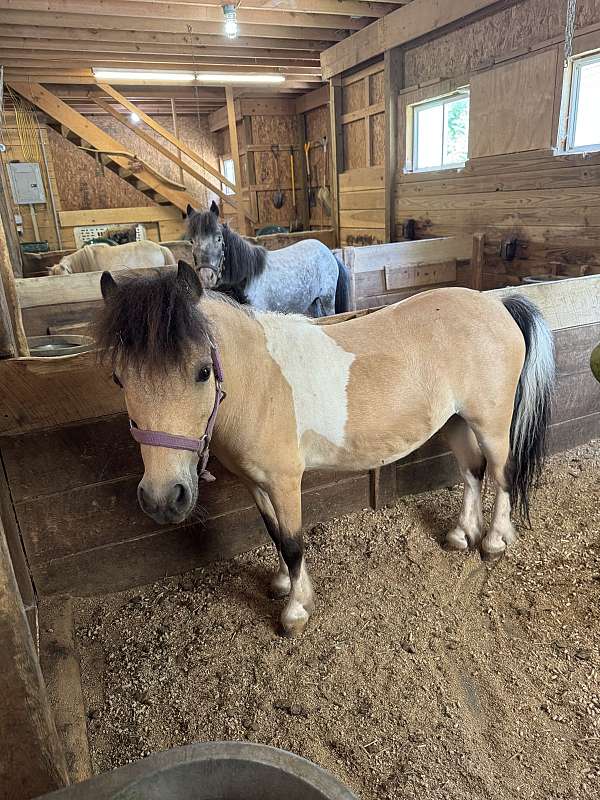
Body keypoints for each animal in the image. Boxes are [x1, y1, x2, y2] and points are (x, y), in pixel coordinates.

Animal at [96, 262, 555, 637]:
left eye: (203, 371)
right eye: (119, 379)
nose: (162, 498)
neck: (260, 382)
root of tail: (496, 304)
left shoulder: (284, 482)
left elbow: (293, 542)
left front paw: (295, 610)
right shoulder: (255, 484)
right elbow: (275, 535)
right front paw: (283, 583)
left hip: (491, 425)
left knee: (503, 474)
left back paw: (493, 541)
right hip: (455, 422)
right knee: (472, 472)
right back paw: (462, 534)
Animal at [186, 202, 350, 317]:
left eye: (219, 238)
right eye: (192, 241)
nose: (207, 276)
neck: (248, 277)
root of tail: (329, 252)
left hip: (327, 300)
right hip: (313, 302)